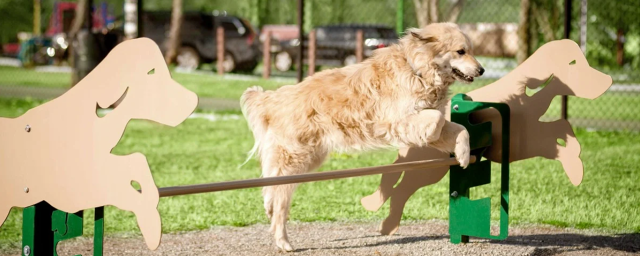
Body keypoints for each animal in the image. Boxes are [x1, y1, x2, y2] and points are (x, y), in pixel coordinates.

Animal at [242, 23, 482, 251]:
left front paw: (462, 155)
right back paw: (283, 241)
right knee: (278, 201)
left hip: (305, 160)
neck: (417, 70)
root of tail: (275, 98)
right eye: (461, 51)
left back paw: (269, 208)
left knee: (270, 186)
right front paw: (432, 137)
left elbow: (460, 129)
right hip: (295, 162)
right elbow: (437, 120)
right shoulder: (397, 120)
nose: (482, 70)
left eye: (471, 50)